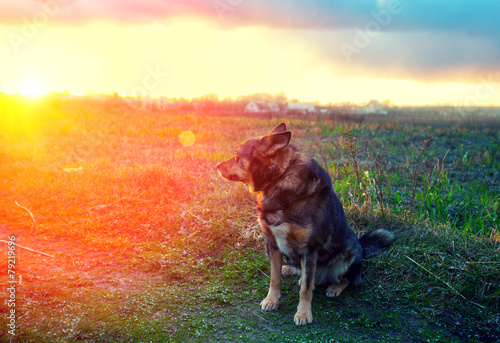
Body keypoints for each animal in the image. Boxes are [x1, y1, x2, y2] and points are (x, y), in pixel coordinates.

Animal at [217, 122, 396, 326]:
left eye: (237, 153)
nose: (216, 165)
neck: (279, 178)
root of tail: (362, 247)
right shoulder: (272, 244)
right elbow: (274, 278)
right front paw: (272, 300)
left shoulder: (309, 250)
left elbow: (305, 290)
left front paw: (303, 313)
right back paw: (290, 270)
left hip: (348, 256)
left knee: (346, 279)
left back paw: (334, 287)